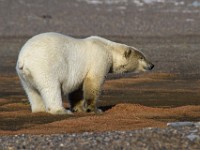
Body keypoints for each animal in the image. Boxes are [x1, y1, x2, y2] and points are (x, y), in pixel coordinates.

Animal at [16, 32, 154, 114]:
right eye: (141, 57)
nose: (152, 65)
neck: (109, 49)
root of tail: (24, 58)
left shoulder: (78, 73)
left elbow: (76, 89)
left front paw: (78, 108)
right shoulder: (99, 58)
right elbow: (93, 82)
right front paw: (95, 109)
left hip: (24, 76)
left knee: (31, 91)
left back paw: (39, 110)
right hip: (45, 66)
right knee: (50, 88)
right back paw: (61, 111)